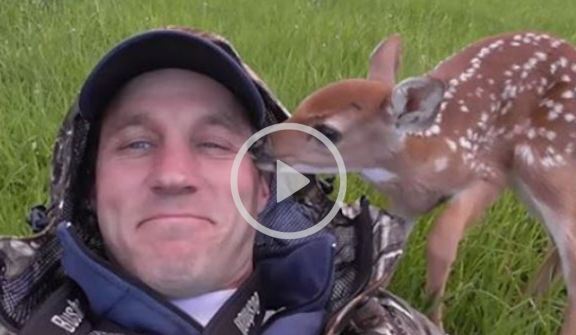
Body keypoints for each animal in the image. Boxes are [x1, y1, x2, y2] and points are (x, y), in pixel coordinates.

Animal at [256, 32, 576, 335]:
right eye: (303, 103)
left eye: (328, 131)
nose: (259, 144)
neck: (423, 159)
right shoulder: (405, 204)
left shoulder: (489, 172)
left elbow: (441, 239)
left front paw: (435, 320)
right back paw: (524, 305)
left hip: (550, 169)